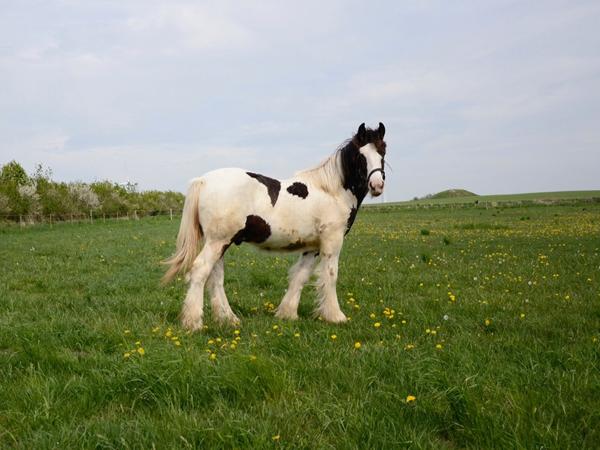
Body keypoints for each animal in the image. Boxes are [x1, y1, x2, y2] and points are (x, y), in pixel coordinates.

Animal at [163, 122, 390, 330]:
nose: (377, 185)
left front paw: (287, 314)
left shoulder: (312, 247)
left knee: (215, 277)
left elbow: (300, 277)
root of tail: (203, 180)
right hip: (218, 242)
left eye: (382, 151)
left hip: (220, 243)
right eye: (361, 156)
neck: (330, 191)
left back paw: (228, 319)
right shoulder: (332, 242)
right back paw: (193, 323)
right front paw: (335, 316)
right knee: (201, 270)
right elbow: (331, 275)